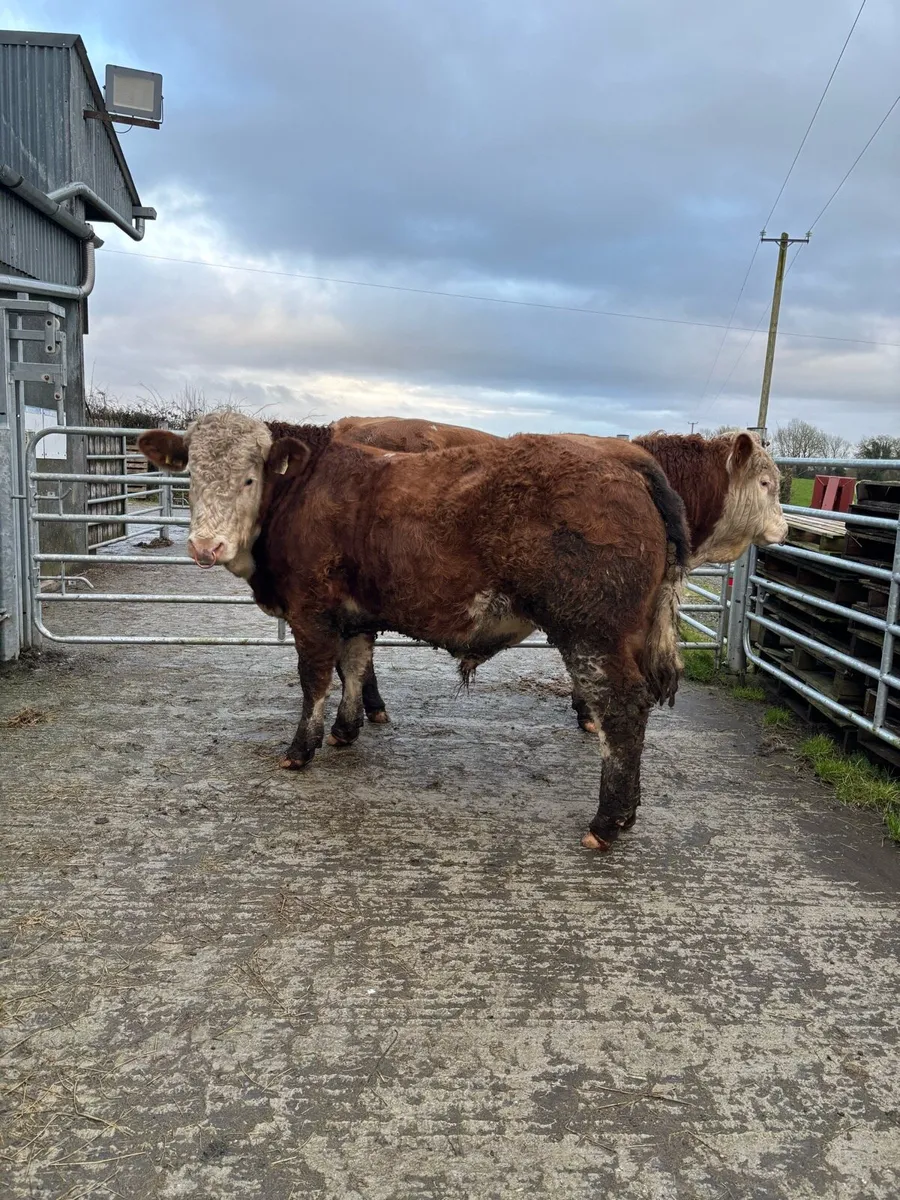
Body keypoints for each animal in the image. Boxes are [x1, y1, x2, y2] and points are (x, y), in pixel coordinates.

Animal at [138, 411, 691, 850]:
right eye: (191, 473)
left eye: (250, 479)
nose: (205, 546)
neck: (303, 491)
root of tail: (625, 463)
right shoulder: (354, 615)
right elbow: (354, 668)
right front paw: (346, 729)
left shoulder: (310, 613)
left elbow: (314, 680)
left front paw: (300, 749)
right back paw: (627, 812)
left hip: (592, 632)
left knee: (622, 709)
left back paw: (607, 821)